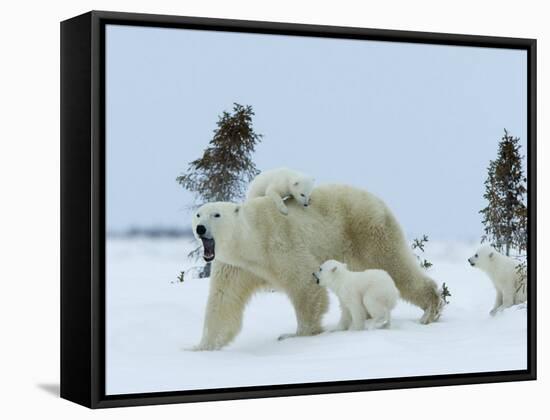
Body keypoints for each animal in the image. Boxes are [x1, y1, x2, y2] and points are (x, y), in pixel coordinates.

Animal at [192, 185, 446, 352]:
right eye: (198, 214)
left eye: (216, 214)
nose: (200, 228)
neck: (253, 241)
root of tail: (377, 199)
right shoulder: (235, 266)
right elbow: (223, 300)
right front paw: (201, 347)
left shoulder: (280, 243)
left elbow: (304, 284)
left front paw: (297, 335)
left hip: (367, 229)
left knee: (394, 265)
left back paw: (429, 310)